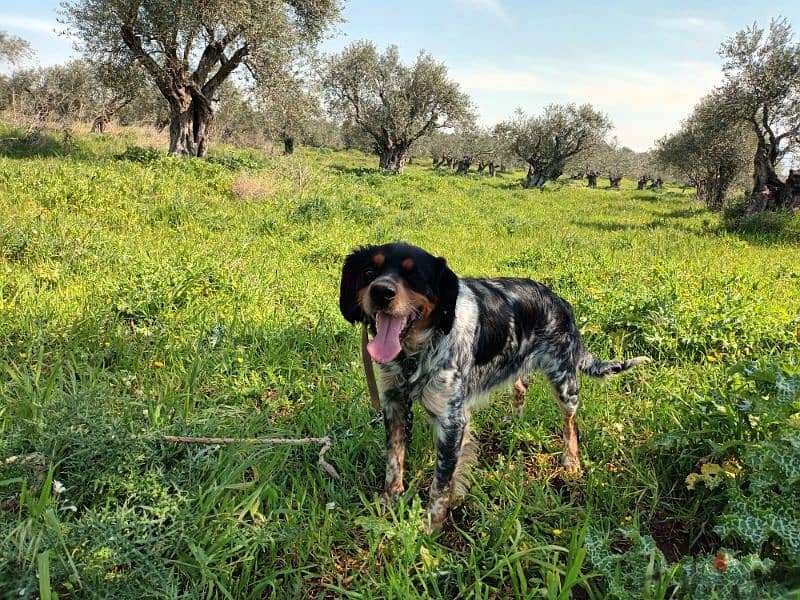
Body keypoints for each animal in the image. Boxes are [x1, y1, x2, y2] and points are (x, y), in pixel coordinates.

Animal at [340, 241, 648, 532]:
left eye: (413, 275)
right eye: (369, 271)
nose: (381, 292)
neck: (416, 352)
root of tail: (560, 301)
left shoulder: (451, 420)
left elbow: (441, 482)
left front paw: (430, 523)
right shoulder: (394, 403)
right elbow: (394, 460)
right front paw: (389, 501)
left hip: (565, 382)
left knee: (570, 421)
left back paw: (570, 460)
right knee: (522, 386)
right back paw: (514, 420)